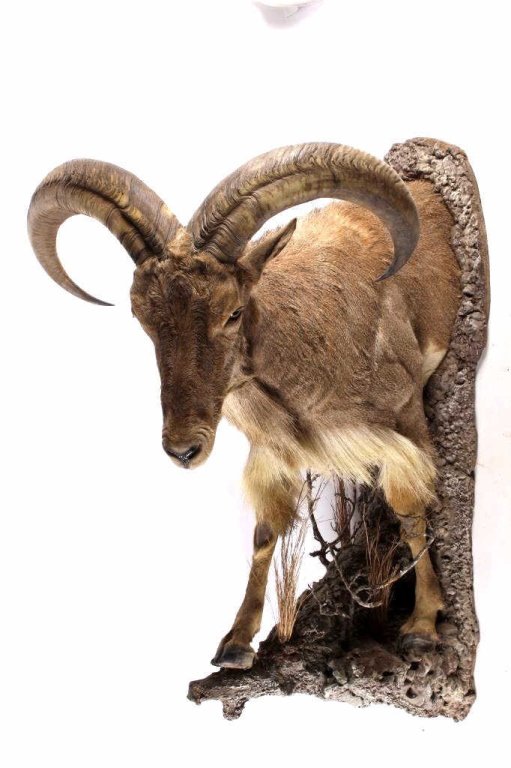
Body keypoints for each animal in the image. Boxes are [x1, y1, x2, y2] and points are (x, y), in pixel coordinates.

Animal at [28, 142, 460, 670]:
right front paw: (235, 642)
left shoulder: (406, 418)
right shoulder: (272, 450)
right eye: (141, 317)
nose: (183, 450)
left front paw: (422, 625)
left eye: (233, 312)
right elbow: (264, 532)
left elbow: (412, 513)